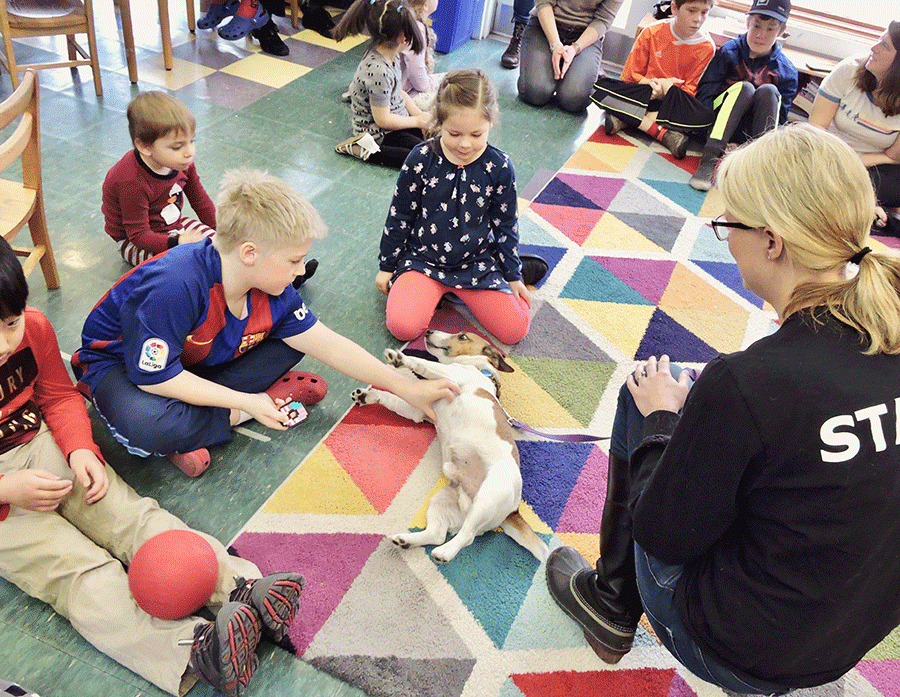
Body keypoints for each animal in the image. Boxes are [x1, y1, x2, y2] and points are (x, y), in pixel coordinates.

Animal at [352, 328, 548, 564]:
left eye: (463, 336)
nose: (428, 330)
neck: (478, 369)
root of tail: (513, 511)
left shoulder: (452, 374)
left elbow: (423, 364)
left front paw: (400, 359)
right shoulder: (420, 409)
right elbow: (392, 398)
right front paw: (369, 395)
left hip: (488, 497)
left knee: (467, 536)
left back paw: (444, 552)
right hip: (443, 500)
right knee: (437, 534)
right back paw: (406, 540)